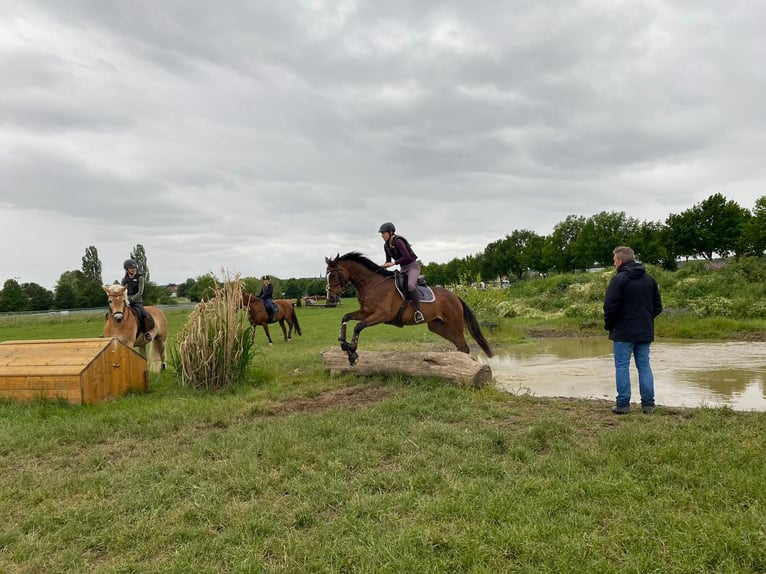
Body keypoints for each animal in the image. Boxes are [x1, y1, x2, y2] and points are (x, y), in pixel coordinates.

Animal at [322, 253, 492, 368]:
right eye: (327, 275)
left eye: (334, 275)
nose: (330, 299)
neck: (372, 284)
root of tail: (455, 296)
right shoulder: (366, 312)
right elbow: (345, 317)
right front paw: (343, 343)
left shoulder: (381, 315)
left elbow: (358, 327)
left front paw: (352, 353)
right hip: (438, 326)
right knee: (459, 345)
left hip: (454, 324)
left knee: (463, 345)